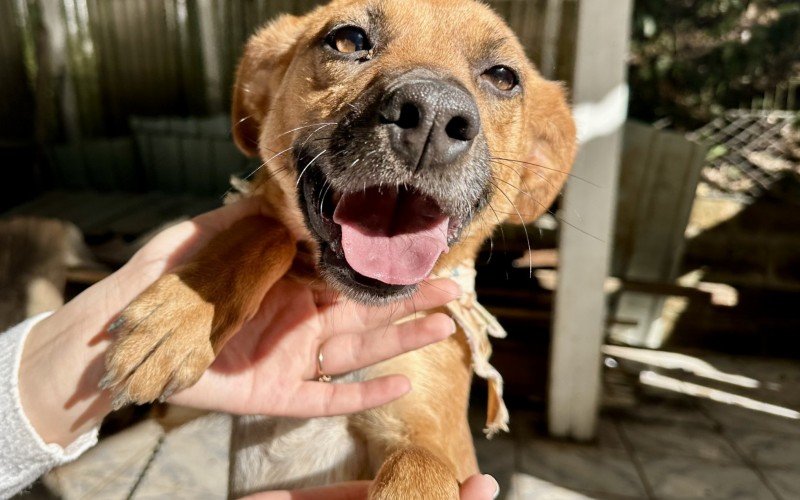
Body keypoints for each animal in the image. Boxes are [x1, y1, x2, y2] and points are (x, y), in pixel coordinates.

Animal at [101, 0, 576, 496]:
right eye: (348, 40)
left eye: (503, 77)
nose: (433, 116)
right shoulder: (171, 410)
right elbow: (267, 230)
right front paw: (180, 316)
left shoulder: (432, 428)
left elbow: (421, 464)